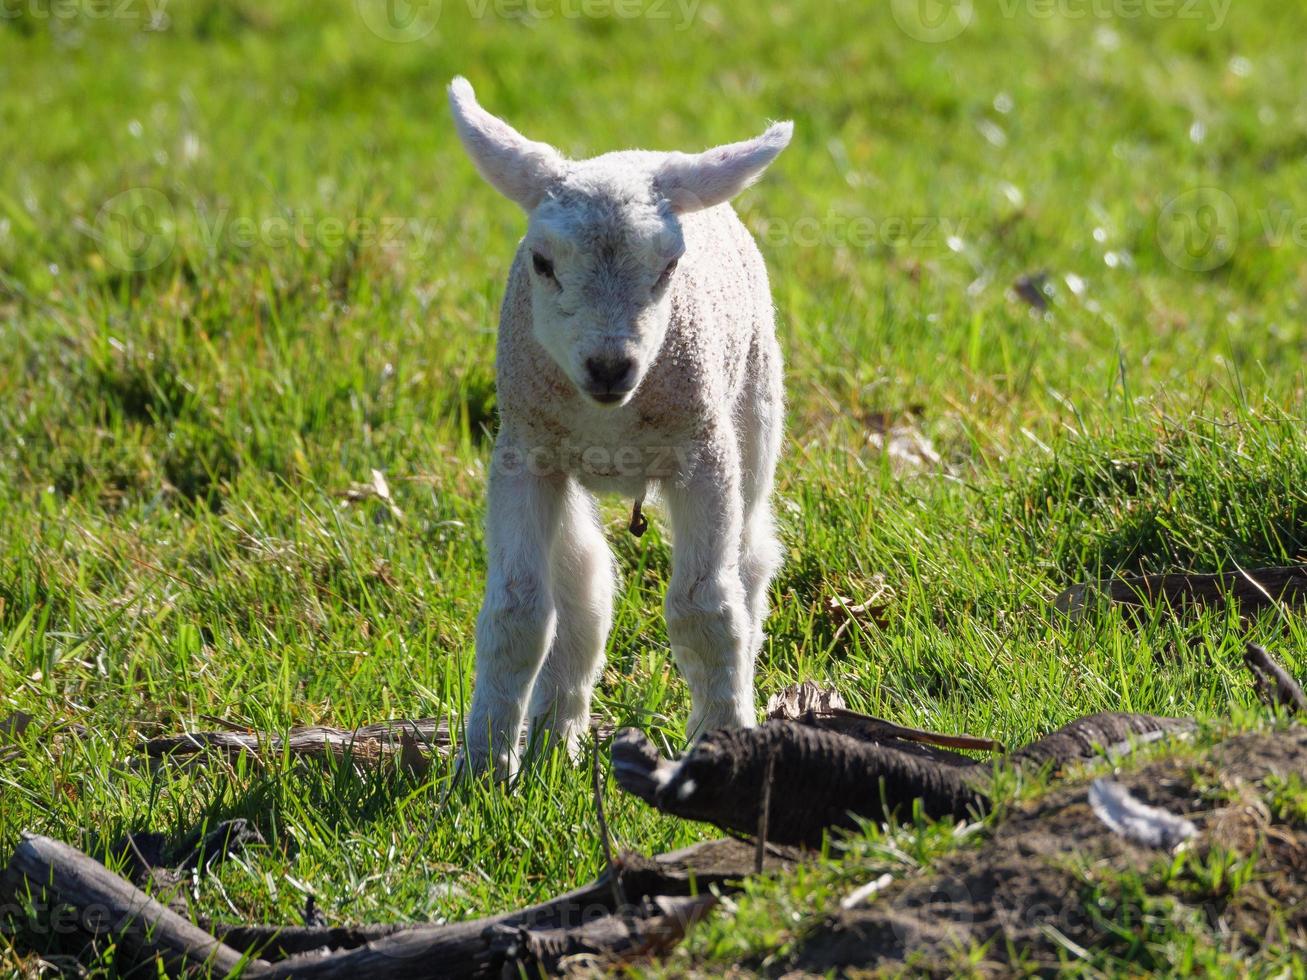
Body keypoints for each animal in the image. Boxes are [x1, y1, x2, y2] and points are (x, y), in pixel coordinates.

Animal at [449, 76, 789, 778]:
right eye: (542, 262)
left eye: (669, 267)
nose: (610, 366)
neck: (611, 421)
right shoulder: (525, 455)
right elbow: (519, 612)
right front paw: (485, 767)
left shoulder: (703, 453)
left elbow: (704, 610)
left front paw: (719, 745)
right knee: (585, 584)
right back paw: (556, 739)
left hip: (754, 409)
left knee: (747, 565)